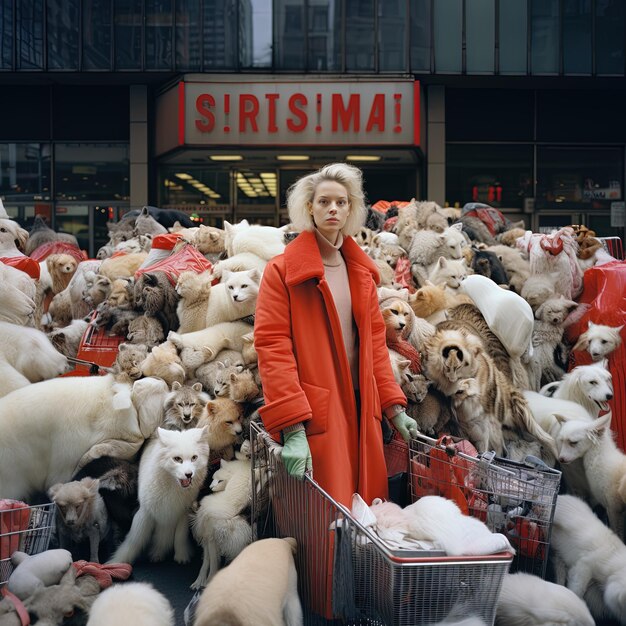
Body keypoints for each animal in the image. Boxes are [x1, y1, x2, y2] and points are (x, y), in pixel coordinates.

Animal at [110, 426, 210, 564]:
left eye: (194, 458)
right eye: (177, 459)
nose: (189, 474)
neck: (172, 488)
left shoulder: (182, 513)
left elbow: (180, 536)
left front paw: (181, 556)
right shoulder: (145, 512)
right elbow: (134, 541)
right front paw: (117, 561)